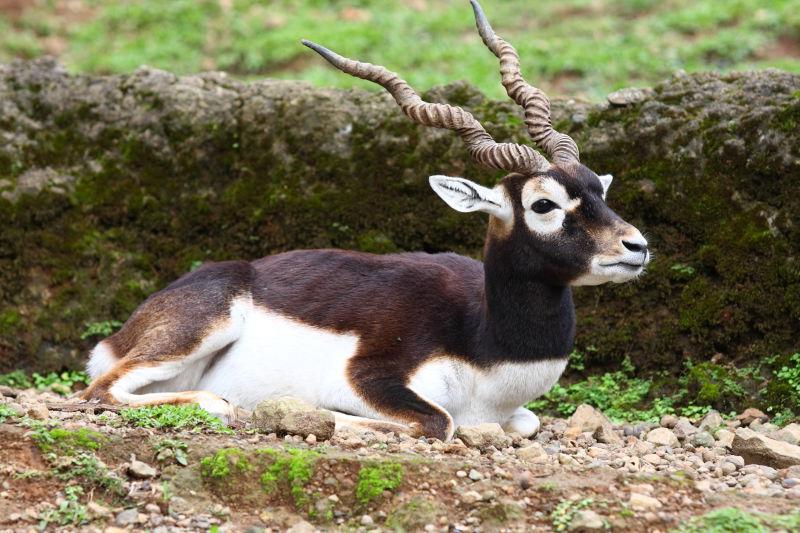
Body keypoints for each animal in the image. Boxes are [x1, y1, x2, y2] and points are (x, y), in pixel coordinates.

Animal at [79, 1, 648, 440]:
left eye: (598, 187)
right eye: (543, 204)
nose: (636, 247)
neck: (487, 343)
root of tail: (125, 331)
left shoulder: (513, 412)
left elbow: (524, 422)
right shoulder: (368, 378)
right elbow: (440, 422)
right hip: (197, 333)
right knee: (104, 392)